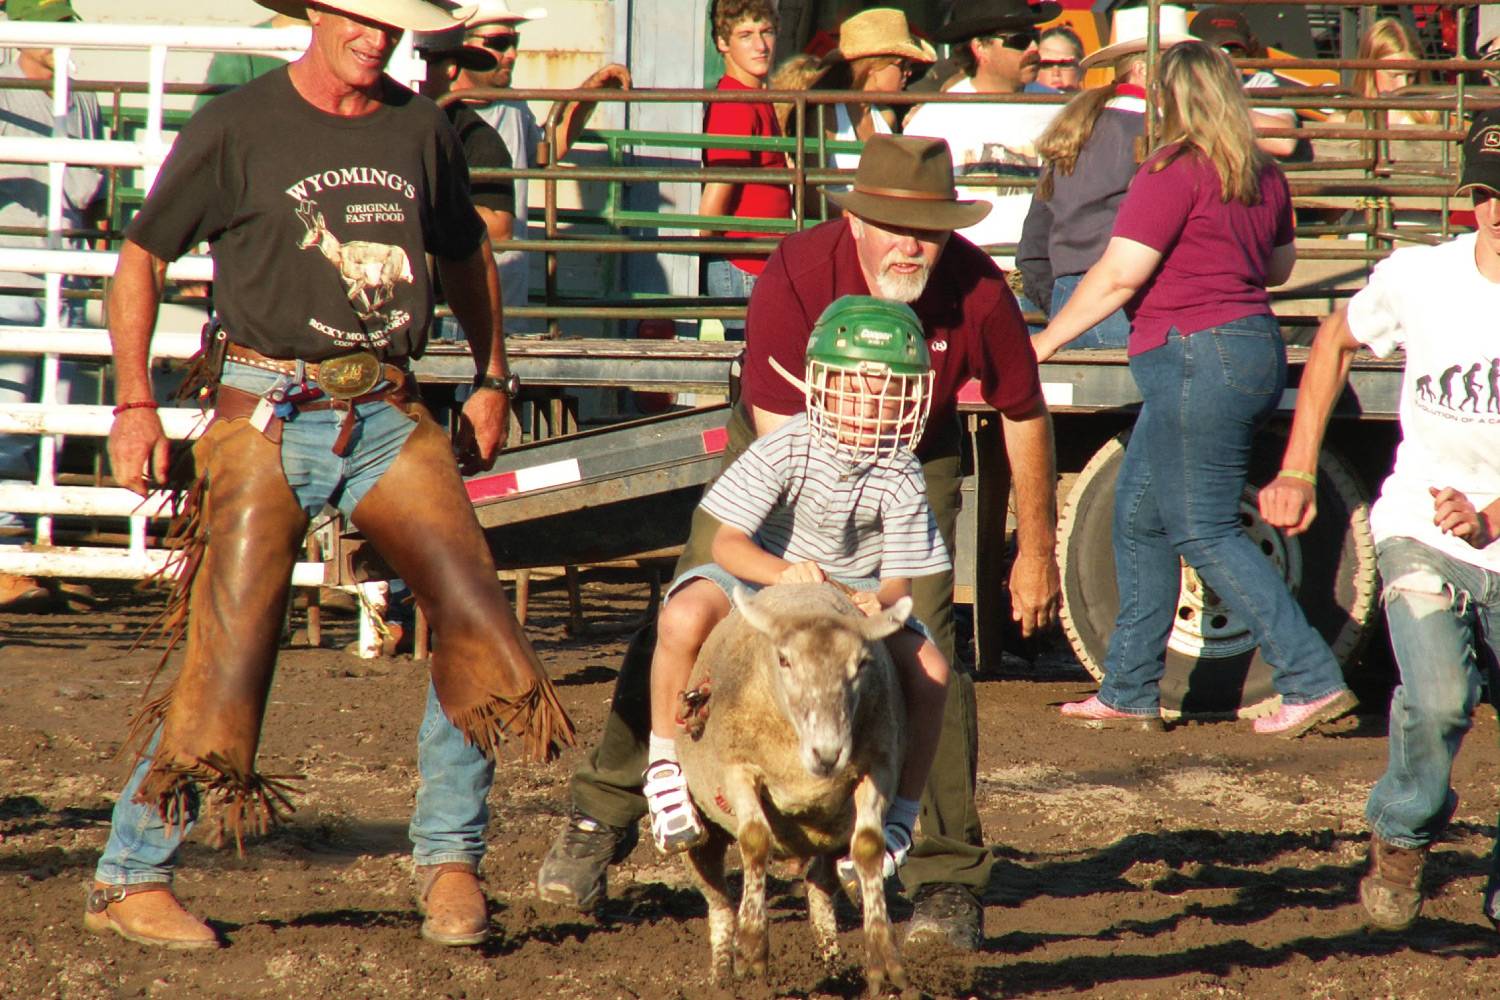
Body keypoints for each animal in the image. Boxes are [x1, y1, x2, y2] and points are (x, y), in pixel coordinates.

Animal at [675, 581, 906, 989]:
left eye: (861, 663)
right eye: (784, 660)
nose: (828, 752)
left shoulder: (879, 767)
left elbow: (868, 847)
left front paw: (883, 954)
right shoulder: (737, 768)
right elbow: (755, 840)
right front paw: (752, 948)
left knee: (818, 882)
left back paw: (830, 960)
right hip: (703, 831)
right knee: (718, 900)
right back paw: (722, 973)